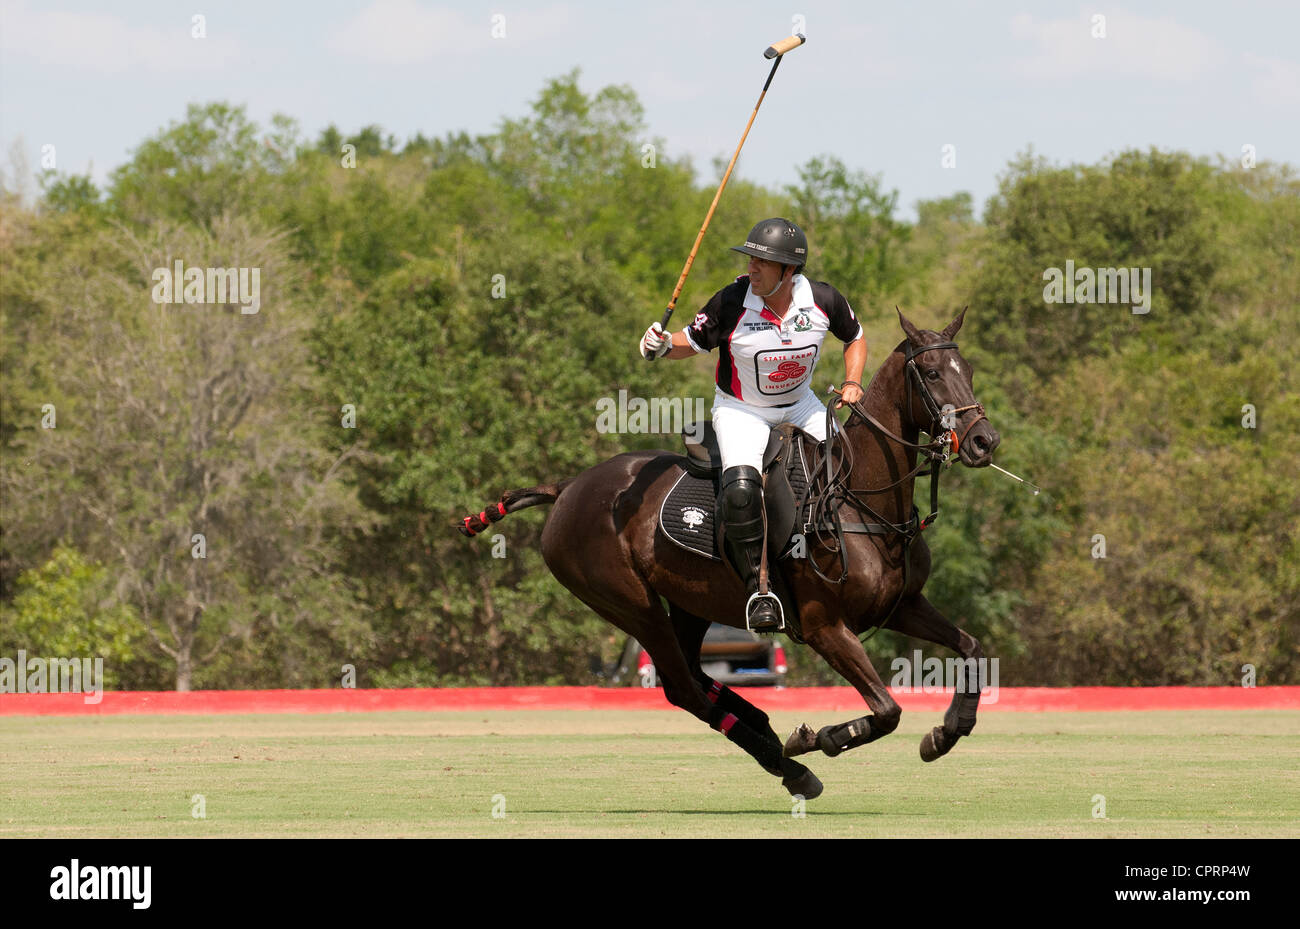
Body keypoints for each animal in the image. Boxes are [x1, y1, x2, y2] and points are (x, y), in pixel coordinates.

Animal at [457, 310, 1003, 800]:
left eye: (969, 371)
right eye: (931, 374)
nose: (984, 441)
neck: (858, 498)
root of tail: (568, 487)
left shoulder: (903, 605)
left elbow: (972, 648)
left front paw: (945, 733)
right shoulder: (824, 626)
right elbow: (887, 710)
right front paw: (820, 738)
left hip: (688, 603)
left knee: (692, 675)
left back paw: (762, 726)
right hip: (629, 604)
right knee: (683, 688)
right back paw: (788, 764)